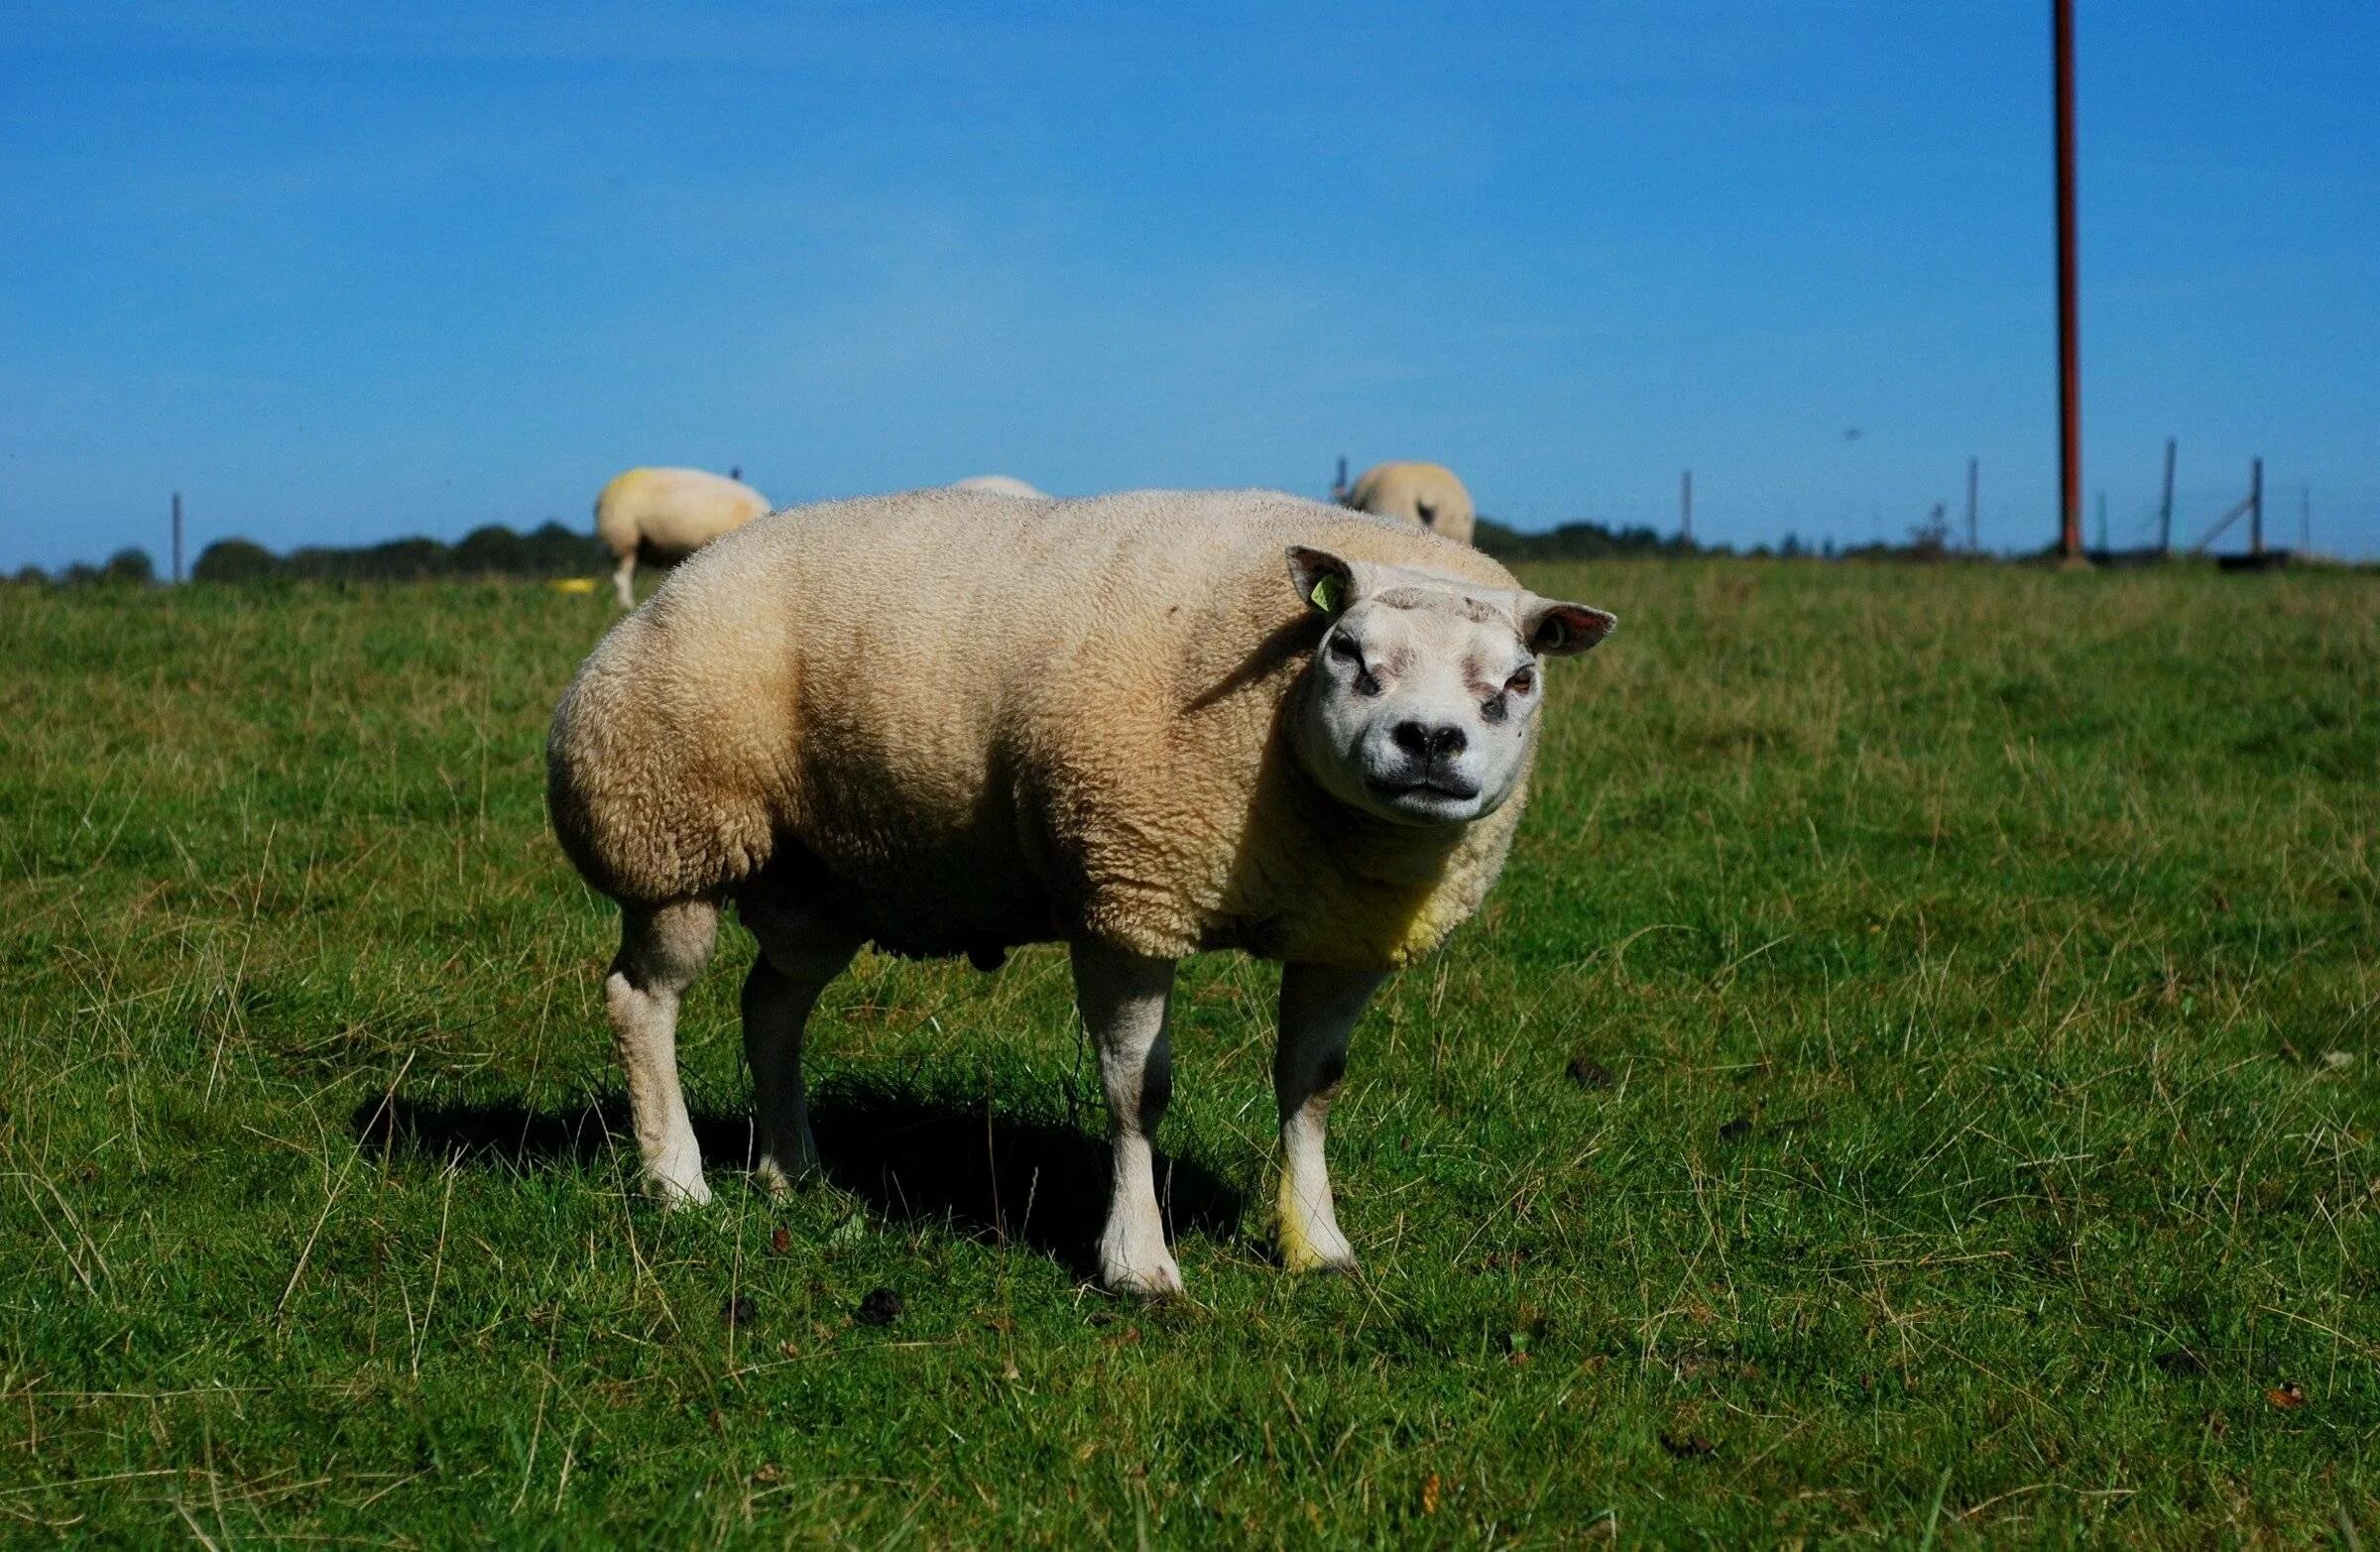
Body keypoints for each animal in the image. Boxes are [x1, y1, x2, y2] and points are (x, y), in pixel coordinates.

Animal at [546, 487, 1614, 1295]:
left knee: (771, 1004)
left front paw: (1318, 1243)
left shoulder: (1346, 932)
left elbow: (1311, 1085)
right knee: (644, 998)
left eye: (1519, 679)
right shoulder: (1124, 893)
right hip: (670, 829)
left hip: (819, 882)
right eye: (1347, 652)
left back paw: (792, 1169)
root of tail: (677, 581)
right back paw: (677, 1178)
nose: (1429, 741)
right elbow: (1139, 1092)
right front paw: (1138, 1262)